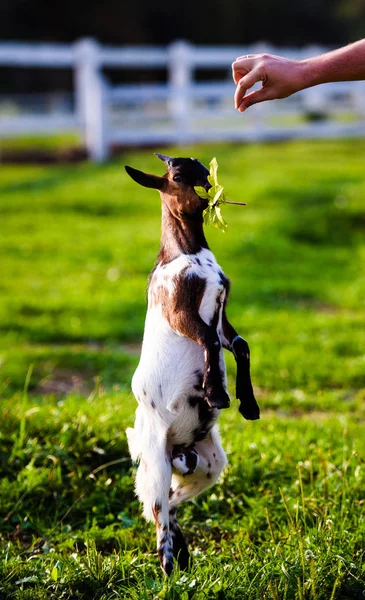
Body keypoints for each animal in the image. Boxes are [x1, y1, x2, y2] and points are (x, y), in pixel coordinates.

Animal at [125, 155, 258, 576]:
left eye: (200, 163)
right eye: (178, 176)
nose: (210, 185)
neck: (187, 254)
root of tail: (176, 448)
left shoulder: (222, 313)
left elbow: (240, 345)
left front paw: (249, 405)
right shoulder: (180, 310)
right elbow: (210, 341)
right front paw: (218, 395)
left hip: (209, 463)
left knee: (172, 498)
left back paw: (183, 550)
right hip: (154, 457)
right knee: (156, 508)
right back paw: (169, 565)